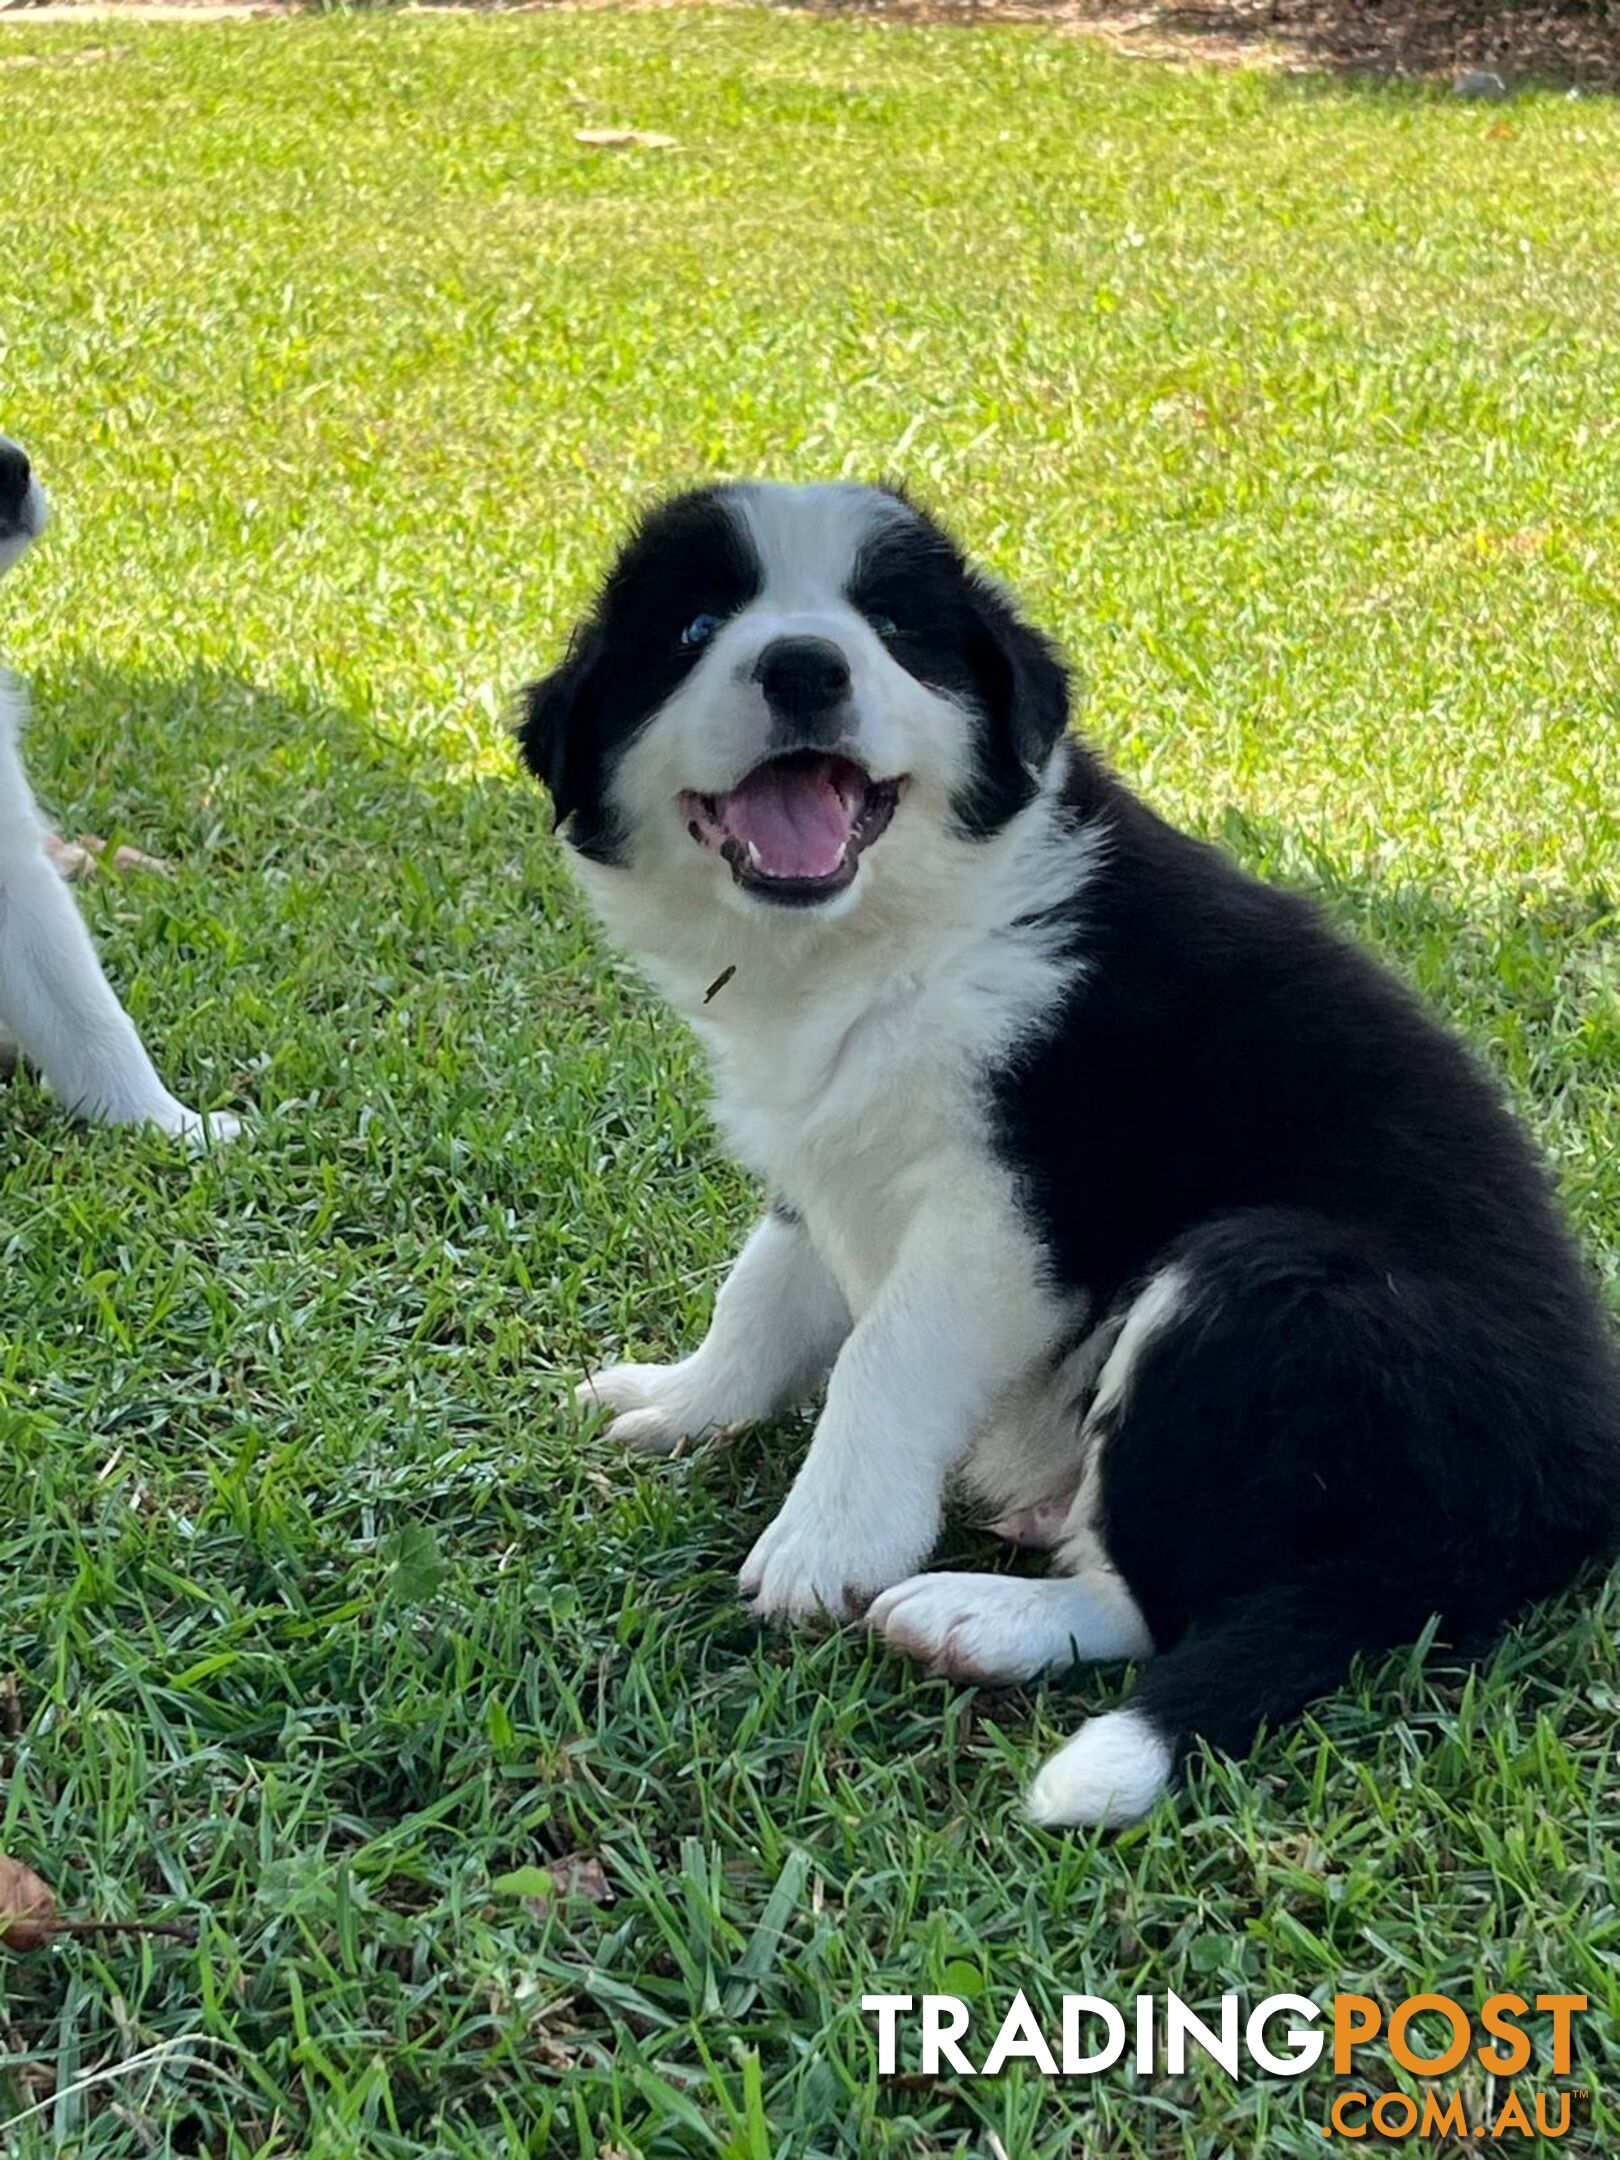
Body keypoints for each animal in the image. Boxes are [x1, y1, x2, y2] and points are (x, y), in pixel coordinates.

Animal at [522, 477, 1620, 1823]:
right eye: (692, 629)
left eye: (894, 627)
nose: (805, 666)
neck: (881, 938)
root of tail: (1570, 1501)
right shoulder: (825, 1141)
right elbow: (765, 1288)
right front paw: (687, 1402)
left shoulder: (1015, 1203)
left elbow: (887, 1353)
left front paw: (826, 1541)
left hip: (1263, 1283)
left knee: (1163, 1603)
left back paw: (982, 1619)